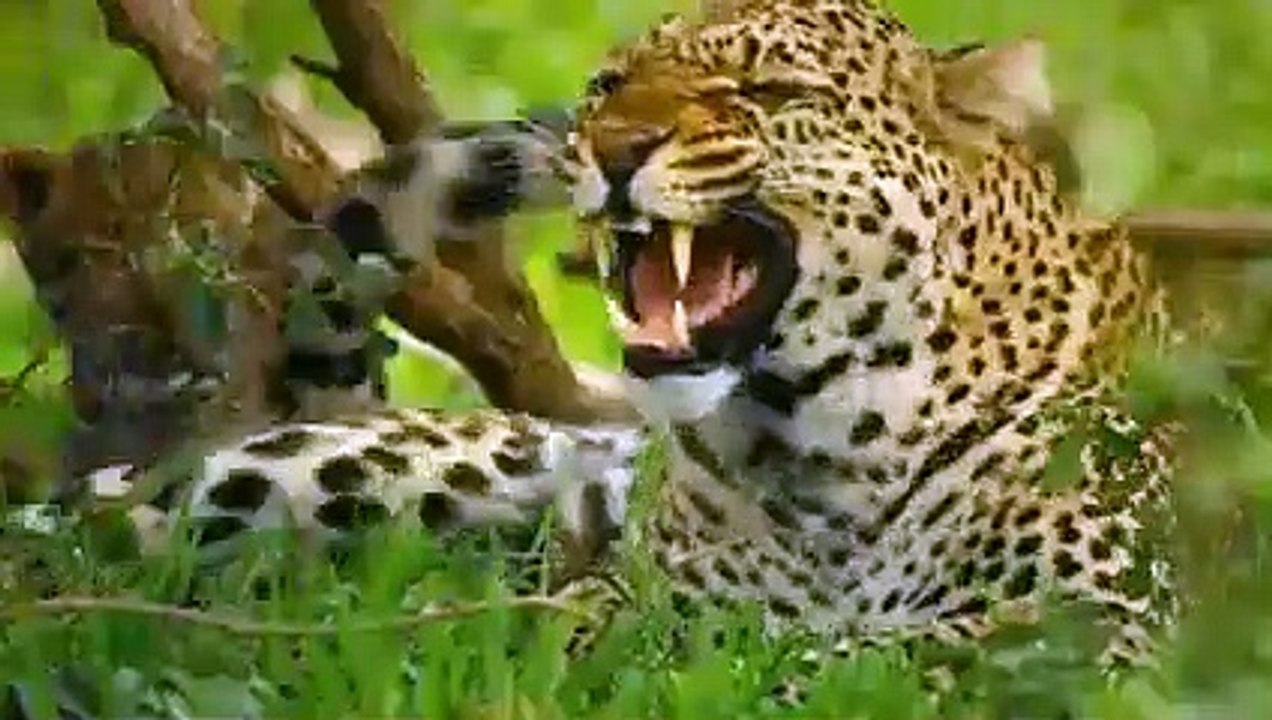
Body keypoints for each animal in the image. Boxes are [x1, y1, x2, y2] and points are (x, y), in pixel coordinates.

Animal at [80, 0, 1180, 680]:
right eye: (610, 86)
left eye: (771, 95)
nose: (608, 148)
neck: (827, 446)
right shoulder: (653, 586)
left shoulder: (1111, 624)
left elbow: (895, 650)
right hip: (307, 472)